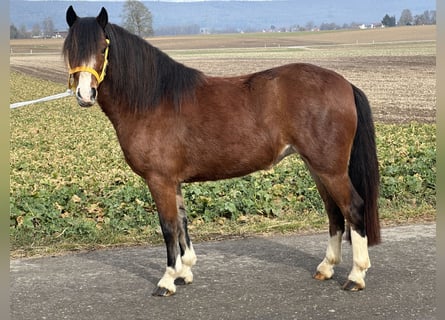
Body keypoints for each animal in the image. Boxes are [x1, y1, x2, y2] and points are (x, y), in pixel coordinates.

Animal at [63, 6, 378, 296]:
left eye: (103, 47)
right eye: (70, 48)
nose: (85, 95)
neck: (153, 101)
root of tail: (344, 84)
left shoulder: (159, 180)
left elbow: (168, 227)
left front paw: (167, 280)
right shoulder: (173, 181)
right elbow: (182, 223)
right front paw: (185, 271)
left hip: (330, 169)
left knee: (353, 209)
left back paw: (356, 276)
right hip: (316, 167)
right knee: (334, 213)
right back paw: (326, 268)